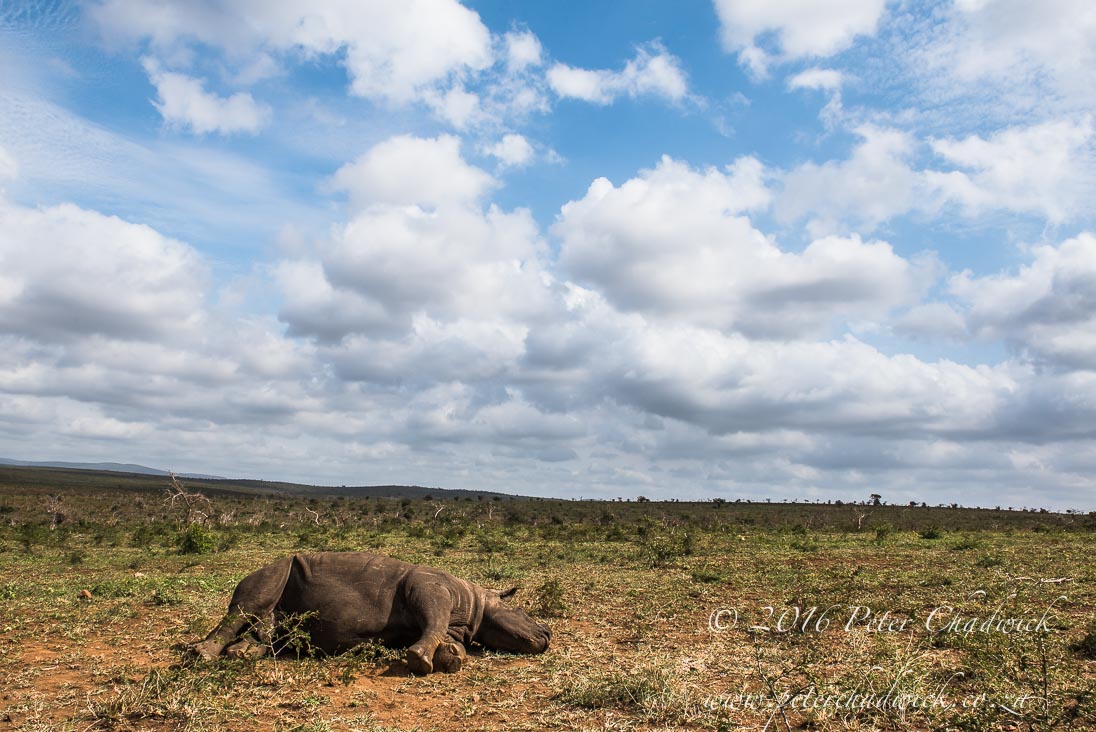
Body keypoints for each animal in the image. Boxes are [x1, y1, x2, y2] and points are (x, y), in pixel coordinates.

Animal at [192, 552, 551, 674]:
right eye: (523, 611)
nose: (548, 635)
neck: (478, 601)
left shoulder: (452, 622)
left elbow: (447, 636)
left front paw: (450, 657)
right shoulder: (429, 588)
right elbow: (434, 620)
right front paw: (420, 660)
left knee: (265, 626)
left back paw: (242, 655)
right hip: (271, 570)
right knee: (249, 603)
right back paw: (203, 656)